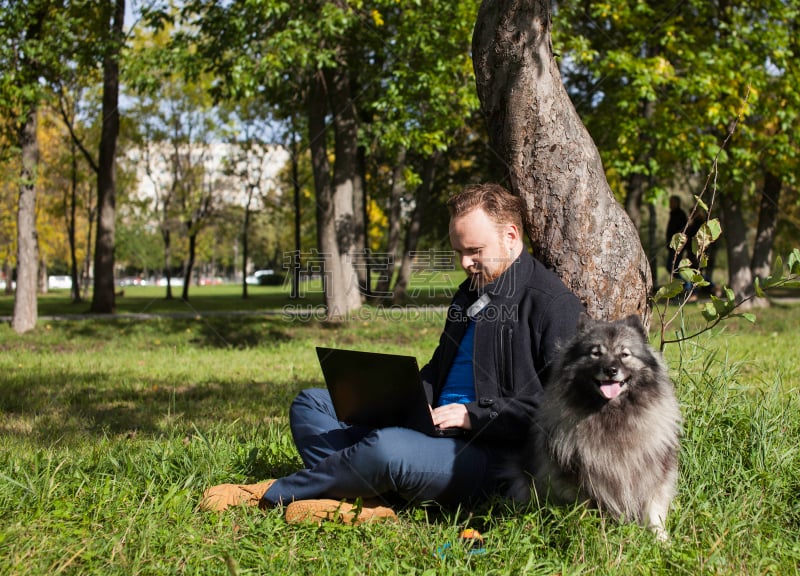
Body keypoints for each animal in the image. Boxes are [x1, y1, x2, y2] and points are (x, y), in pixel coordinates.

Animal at [512, 312, 680, 536]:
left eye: (624, 354)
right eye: (596, 353)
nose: (611, 370)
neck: (611, 413)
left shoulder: (653, 472)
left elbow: (653, 511)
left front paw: (660, 538)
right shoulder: (578, 480)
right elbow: (585, 510)